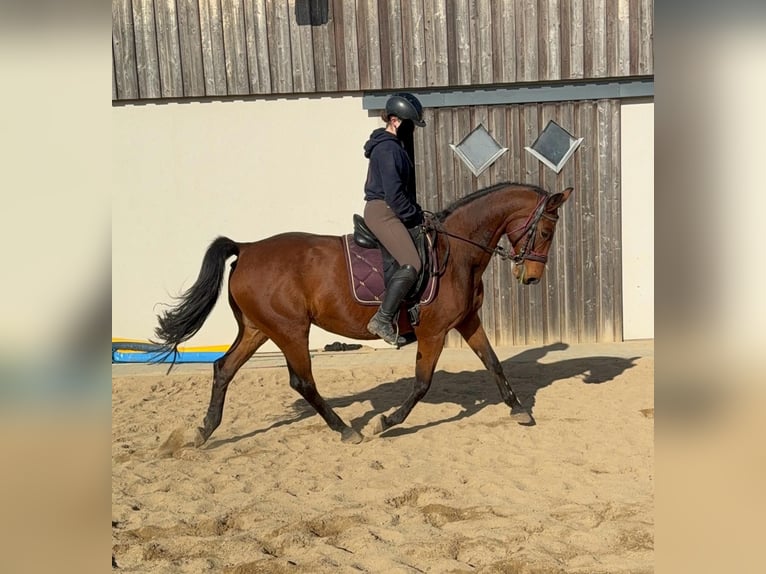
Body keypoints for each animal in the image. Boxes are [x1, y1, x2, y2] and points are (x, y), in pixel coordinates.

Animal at [154, 182, 572, 445]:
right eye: (546, 232)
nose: (531, 277)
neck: (458, 252)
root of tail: (247, 247)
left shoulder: (468, 322)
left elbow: (494, 363)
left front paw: (520, 410)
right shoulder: (434, 332)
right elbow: (422, 383)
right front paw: (386, 422)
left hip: (259, 329)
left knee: (223, 369)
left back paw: (203, 432)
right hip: (290, 330)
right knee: (302, 382)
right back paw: (346, 431)